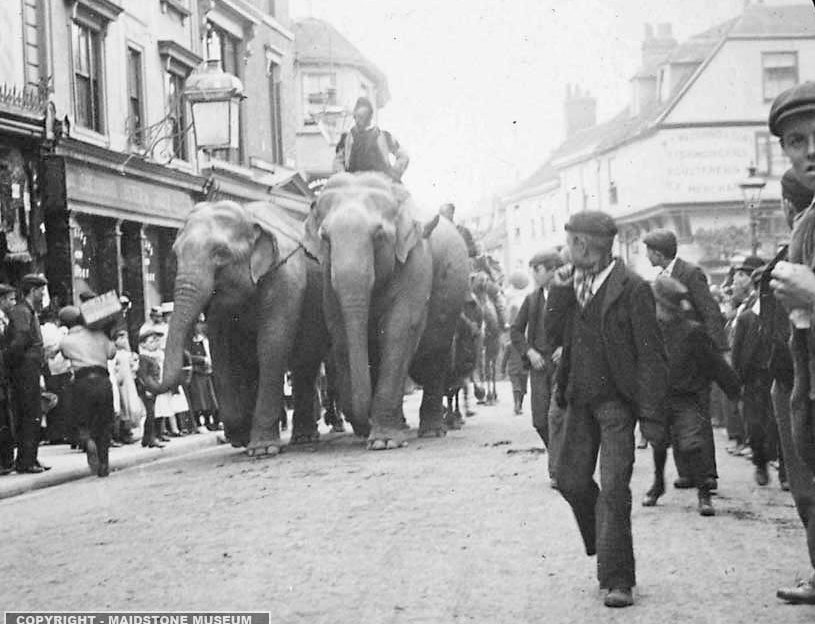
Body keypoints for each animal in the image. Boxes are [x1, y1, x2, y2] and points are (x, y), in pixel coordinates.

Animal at [156, 200, 328, 458]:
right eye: (175, 254)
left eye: (221, 254)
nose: (188, 364)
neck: (249, 217)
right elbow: (221, 352)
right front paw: (240, 438)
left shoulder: (285, 278)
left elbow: (271, 344)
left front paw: (262, 449)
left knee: (304, 366)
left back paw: (304, 437)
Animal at [302, 173, 468, 450]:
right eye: (325, 238)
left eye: (379, 235)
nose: (364, 424)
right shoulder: (327, 277)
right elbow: (340, 332)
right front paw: (373, 432)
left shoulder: (416, 262)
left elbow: (400, 329)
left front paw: (384, 442)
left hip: (452, 297)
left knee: (435, 356)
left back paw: (432, 431)